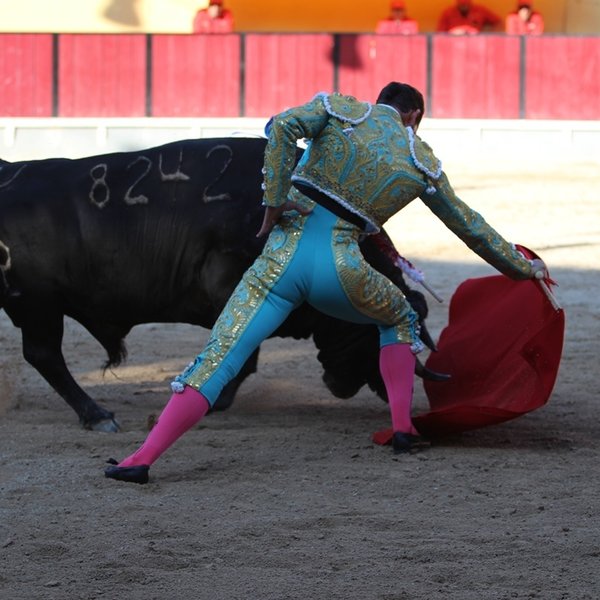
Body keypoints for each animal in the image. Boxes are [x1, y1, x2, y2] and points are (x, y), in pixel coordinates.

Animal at [0, 137, 436, 432]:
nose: (391, 387)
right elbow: (243, 352)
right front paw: (214, 399)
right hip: (38, 305)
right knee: (45, 355)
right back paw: (97, 416)